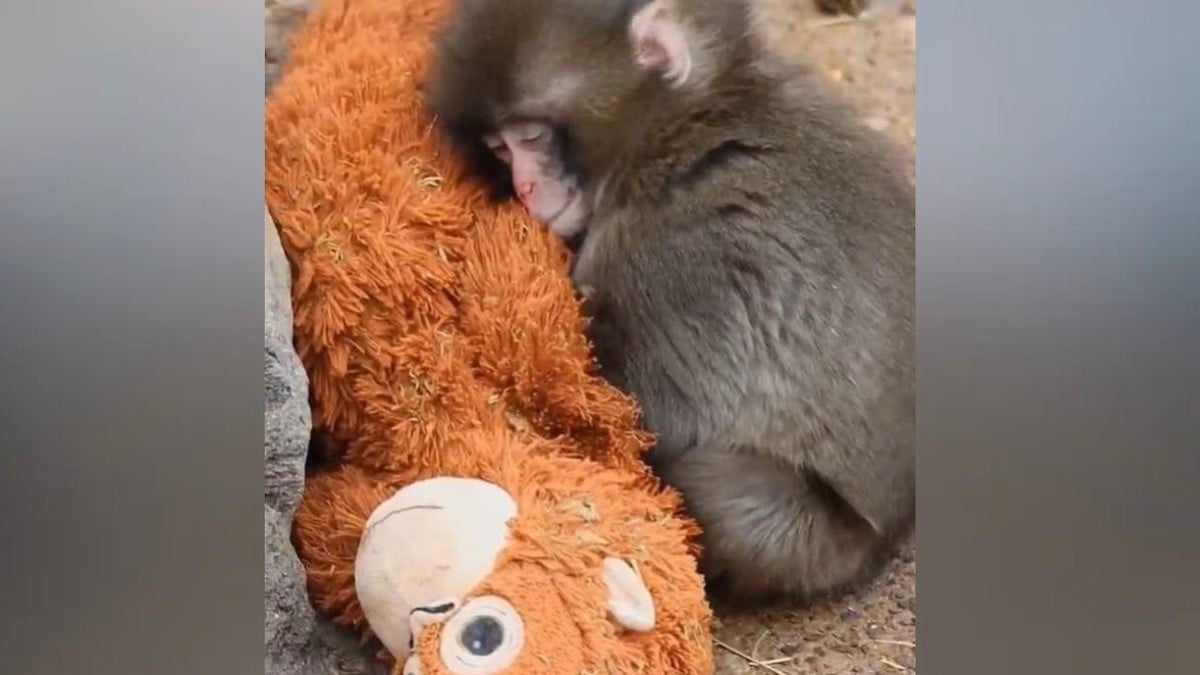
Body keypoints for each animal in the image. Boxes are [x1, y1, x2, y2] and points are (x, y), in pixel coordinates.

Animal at [426, 0, 914, 603]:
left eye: (533, 137)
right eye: (499, 146)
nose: (524, 190)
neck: (682, 128)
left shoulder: (677, 254)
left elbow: (658, 410)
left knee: (721, 494)